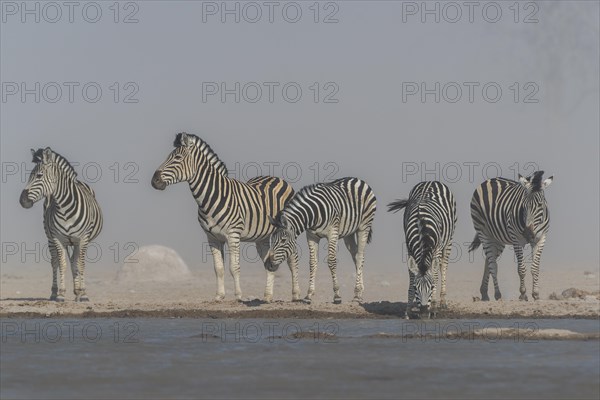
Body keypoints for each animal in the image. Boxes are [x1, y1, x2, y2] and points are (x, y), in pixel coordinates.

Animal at [19, 148, 104, 302]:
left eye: (39, 175)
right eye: (29, 176)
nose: (22, 201)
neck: (64, 208)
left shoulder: (83, 239)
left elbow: (80, 264)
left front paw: (83, 293)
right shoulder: (58, 238)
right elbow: (62, 264)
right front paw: (61, 294)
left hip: (77, 242)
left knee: (75, 261)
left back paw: (79, 292)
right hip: (50, 238)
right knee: (55, 262)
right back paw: (55, 292)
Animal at [150, 133, 300, 302]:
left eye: (177, 157)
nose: (154, 181)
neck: (209, 198)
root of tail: (278, 178)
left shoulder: (233, 235)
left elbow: (234, 267)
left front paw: (238, 295)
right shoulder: (212, 238)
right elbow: (219, 268)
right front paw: (219, 295)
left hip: (287, 231)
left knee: (293, 259)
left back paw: (295, 294)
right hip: (262, 238)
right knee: (269, 263)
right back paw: (268, 296)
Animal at [386, 182, 458, 318]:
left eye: (431, 287)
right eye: (415, 288)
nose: (424, 314)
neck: (420, 228)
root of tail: (431, 181)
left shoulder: (437, 249)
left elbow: (435, 275)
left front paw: (434, 307)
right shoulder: (409, 249)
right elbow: (411, 276)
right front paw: (408, 310)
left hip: (449, 240)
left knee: (443, 266)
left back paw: (443, 302)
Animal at [468, 170, 552, 302]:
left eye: (540, 204)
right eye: (524, 205)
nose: (528, 234)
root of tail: (490, 180)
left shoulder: (541, 239)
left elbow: (535, 268)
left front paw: (536, 294)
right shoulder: (516, 240)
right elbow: (521, 269)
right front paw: (523, 294)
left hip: (497, 239)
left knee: (489, 260)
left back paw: (484, 293)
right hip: (483, 232)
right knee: (493, 264)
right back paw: (497, 294)